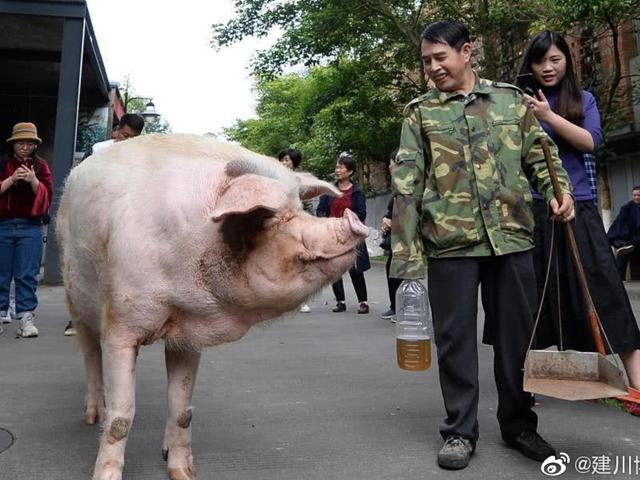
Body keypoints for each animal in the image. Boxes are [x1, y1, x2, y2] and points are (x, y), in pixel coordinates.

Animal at [57, 134, 368, 480]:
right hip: (74, 296)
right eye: (272, 218)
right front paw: (105, 475)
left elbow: (182, 410)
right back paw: (92, 417)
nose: (354, 220)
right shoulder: (121, 324)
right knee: (89, 355)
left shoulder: (187, 333)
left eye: (301, 209)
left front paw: (184, 474)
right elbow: (121, 416)